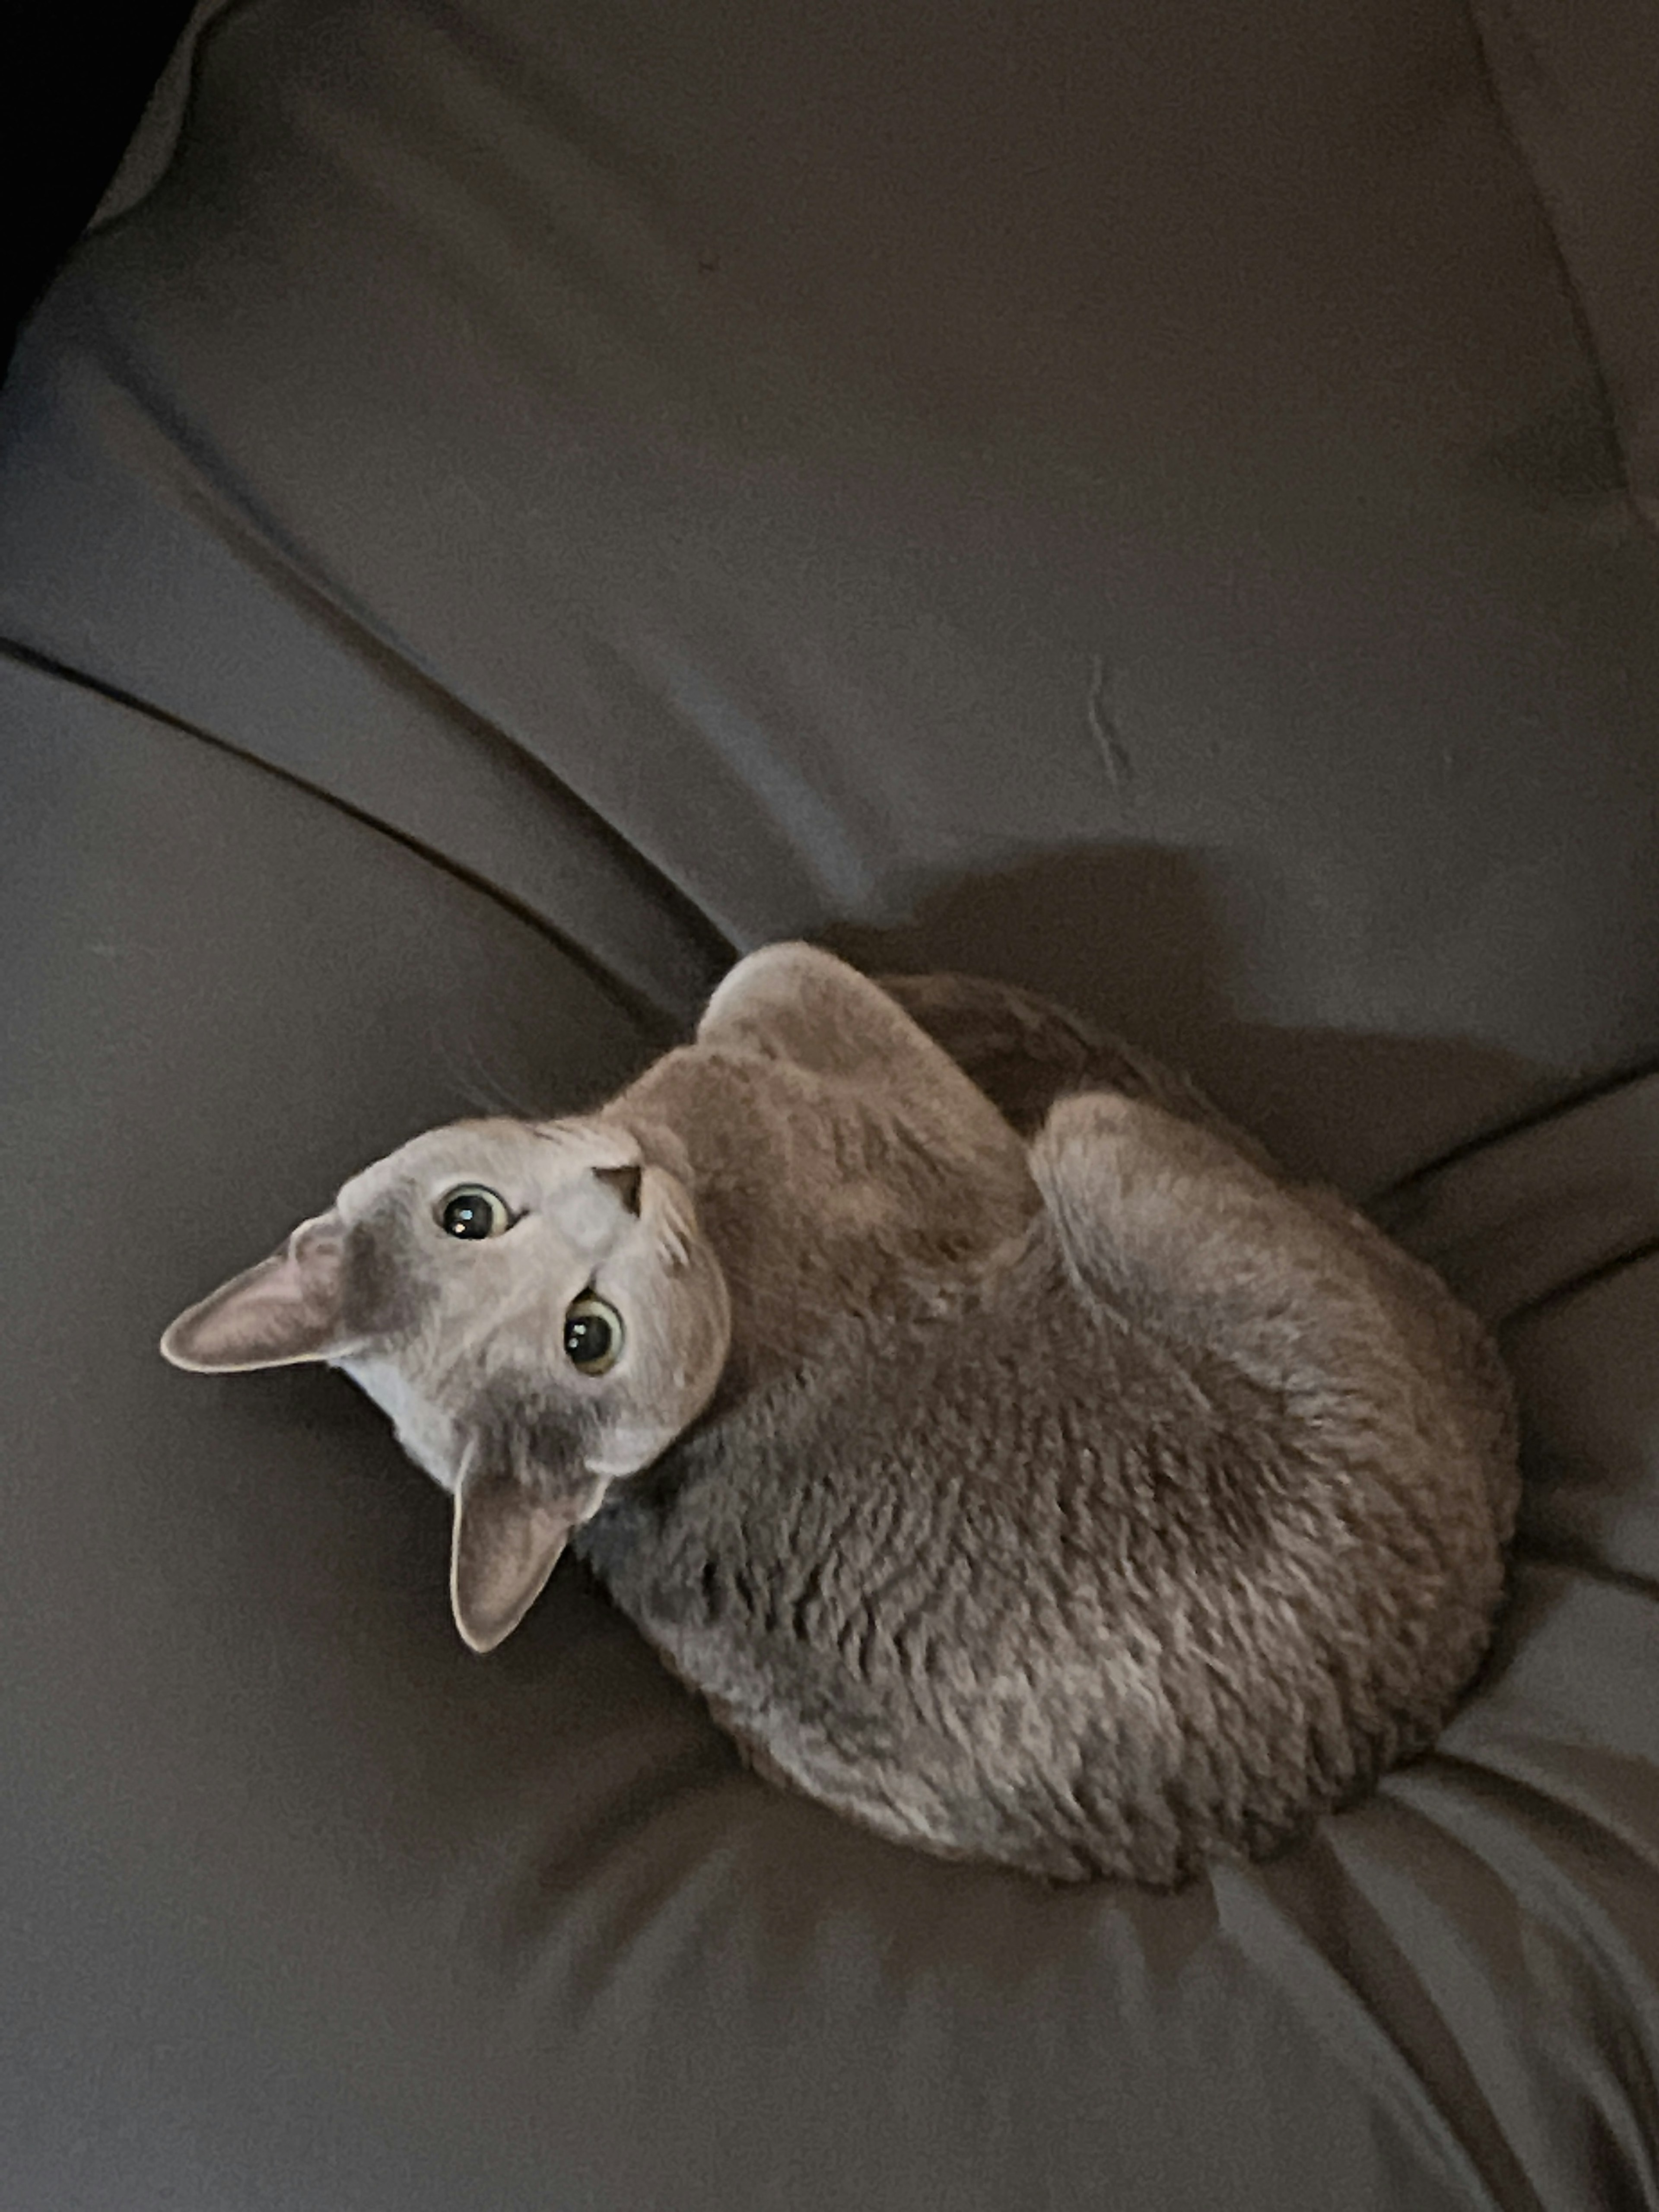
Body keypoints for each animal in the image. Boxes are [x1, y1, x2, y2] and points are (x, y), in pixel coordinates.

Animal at [166, 942, 1522, 1893]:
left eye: (467, 1213)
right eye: (590, 1337)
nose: (621, 1185)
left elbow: (760, 976)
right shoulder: (923, 1141)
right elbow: (771, 966)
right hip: (1106, 1146)